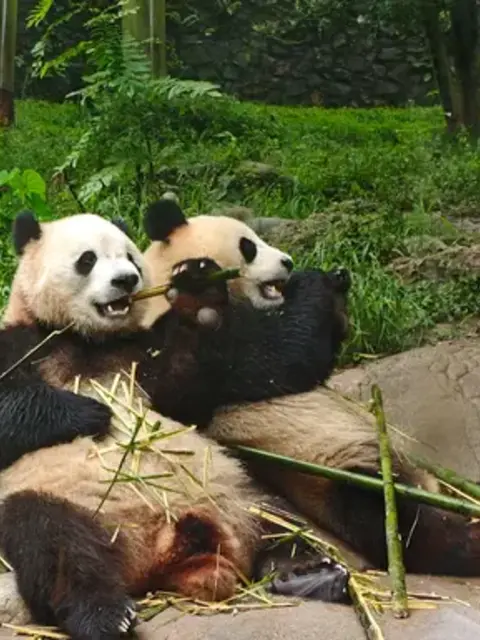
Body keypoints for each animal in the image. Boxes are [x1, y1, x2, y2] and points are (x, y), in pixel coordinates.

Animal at [0, 211, 350, 640]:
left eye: (131, 258)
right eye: (88, 259)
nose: (126, 281)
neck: (86, 339)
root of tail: (164, 550)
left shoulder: (143, 355)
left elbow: (235, 363)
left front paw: (201, 290)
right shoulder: (22, 344)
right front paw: (88, 412)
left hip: (235, 491)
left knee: (277, 517)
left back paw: (306, 570)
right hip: (73, 501)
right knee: (52, 542)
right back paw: (104, 615)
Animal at [141, 198, 480, 578]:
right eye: (249, 246)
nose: (288, 262)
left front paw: (337, 289)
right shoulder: (190, 347)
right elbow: (278, 356)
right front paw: (317, 281)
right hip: (331, 472)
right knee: (398, 524)